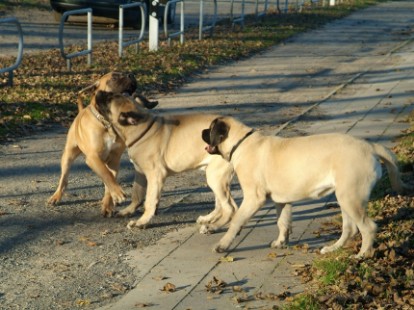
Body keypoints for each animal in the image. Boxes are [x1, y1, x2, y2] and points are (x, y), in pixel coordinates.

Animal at [48, 71, 158, 217]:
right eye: (114, 77)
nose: (131, 74)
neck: (108, 123)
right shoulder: (93, 158)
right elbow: (106, 175)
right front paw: (117, 194)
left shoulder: (114, 160)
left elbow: (109, 179)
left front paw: (108, 204)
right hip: (68, 156)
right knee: (64, 179)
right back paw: (56, 196)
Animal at [93, 91, 236, 231]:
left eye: (110, 98)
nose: (98, 92)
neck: (142, 129)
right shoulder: (140, 172)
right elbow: (137, 193)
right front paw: (128, 211)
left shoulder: (155, 175)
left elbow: (150, 200)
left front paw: (142, 221)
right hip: (216, 177)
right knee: (224, 204)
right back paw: (208, 219)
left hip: (215, 176)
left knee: (230, 207)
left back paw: (212, 227)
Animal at [202, 115, 410, 256]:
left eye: (210, 130)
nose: (202, 132)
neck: (241, 142)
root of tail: (370, 146)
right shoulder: (281, 201)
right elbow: (282, 221)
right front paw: (281, 242)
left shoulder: (254, 199)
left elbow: (236, 220)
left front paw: (222, 244)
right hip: (346, 198)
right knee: (350, 228)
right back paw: (333, 248)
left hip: (351, 197)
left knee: (368, 227)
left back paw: (362, 255)